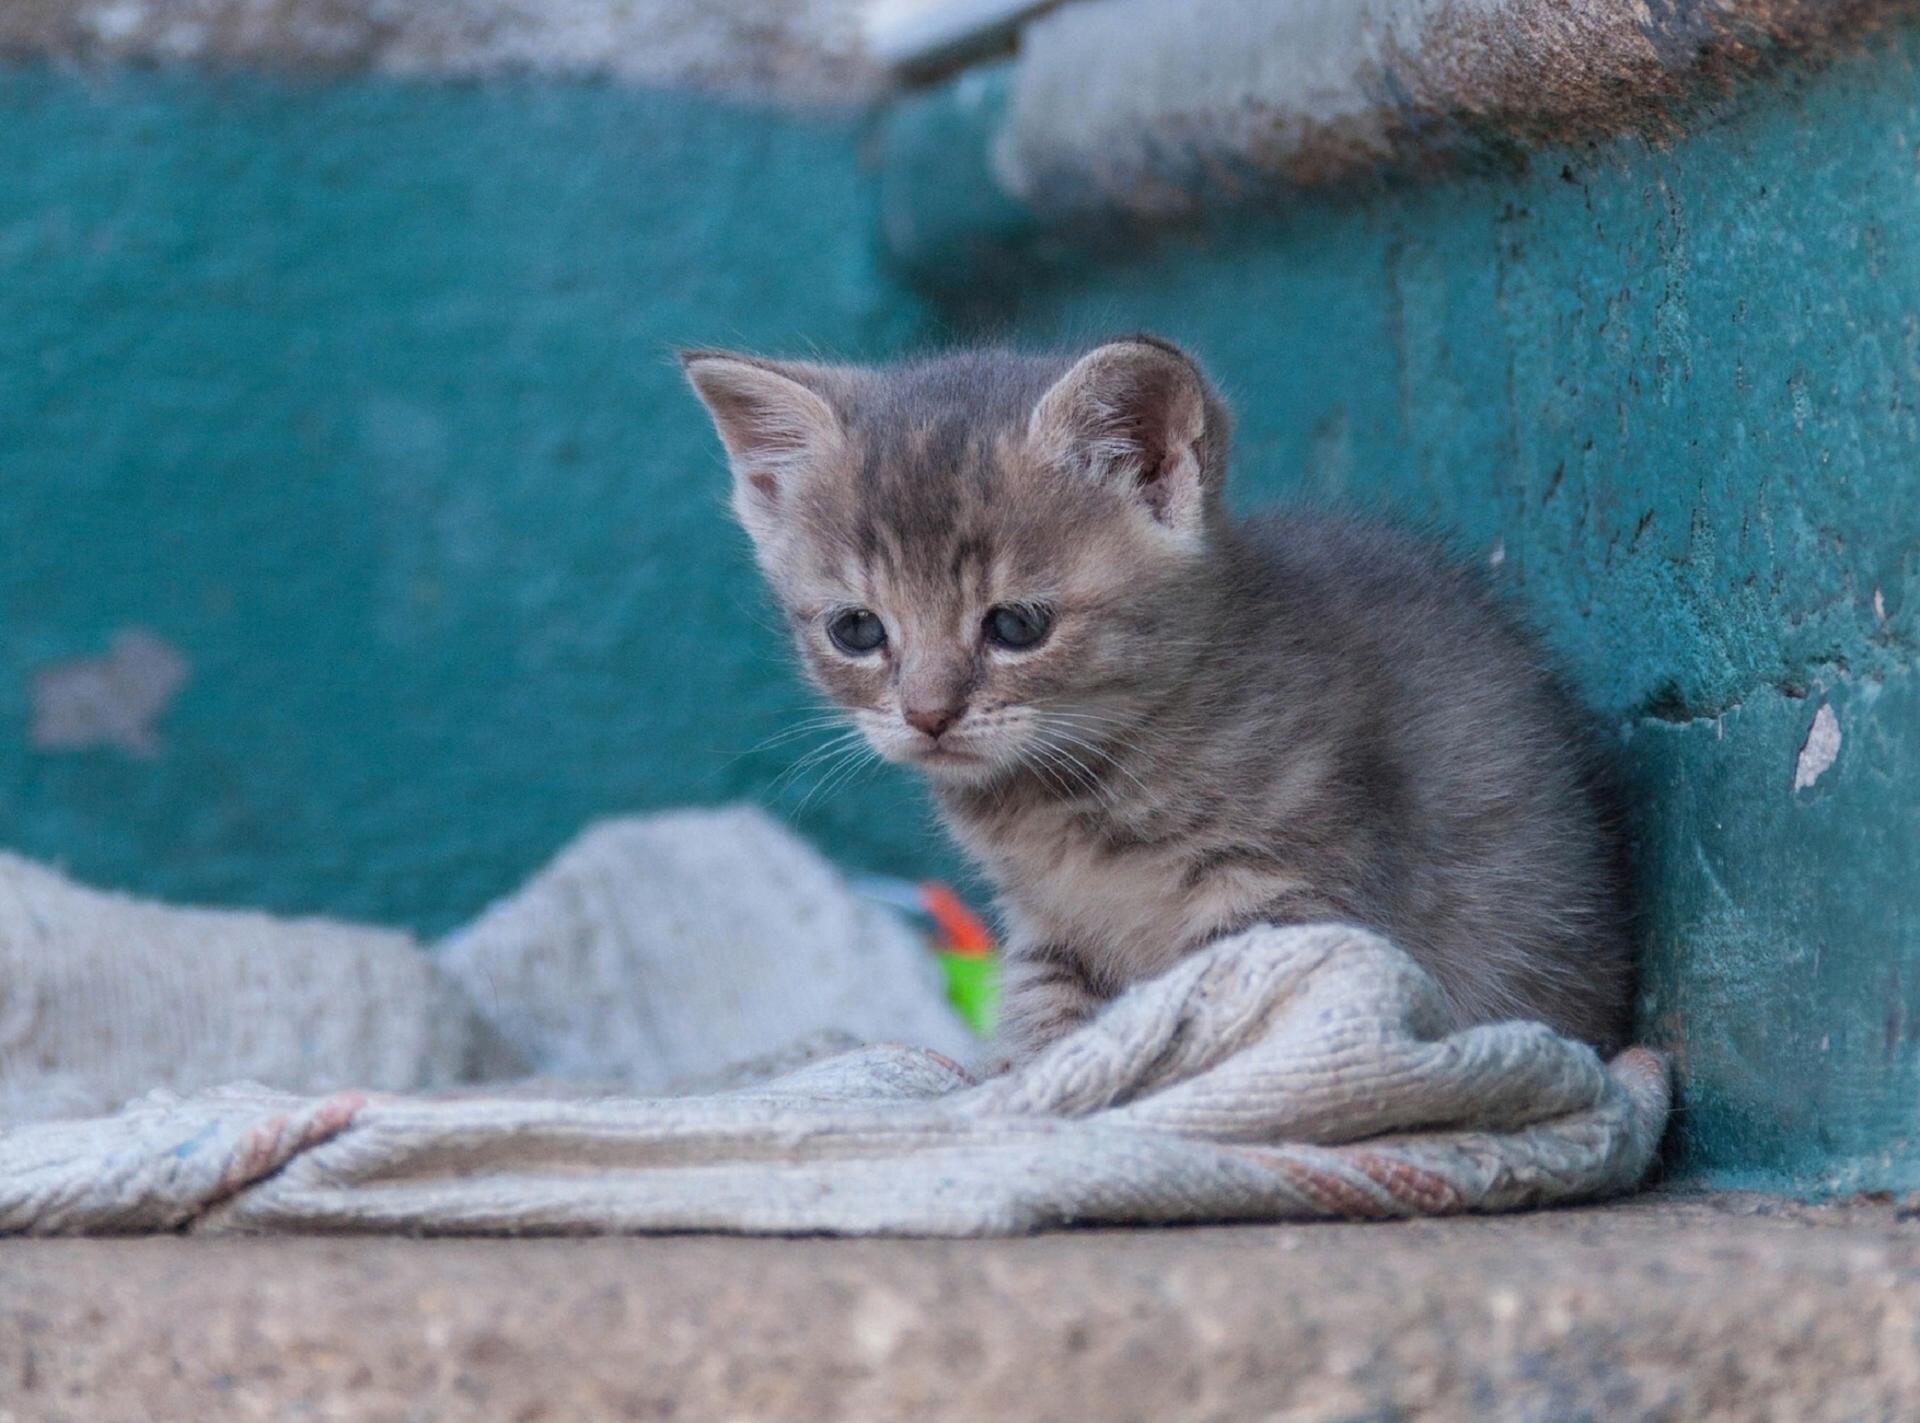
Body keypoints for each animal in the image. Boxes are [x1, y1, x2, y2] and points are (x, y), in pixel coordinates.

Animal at [683, 337, 1628, 1060]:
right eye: (857, 630)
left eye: (1016, 624)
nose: (927, 714)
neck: (1069, 795)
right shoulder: (1046, 924)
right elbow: (1044, 1013)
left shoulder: (1282, 886)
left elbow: (1232, 1010)